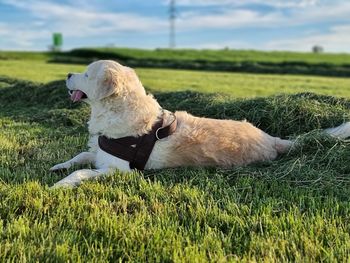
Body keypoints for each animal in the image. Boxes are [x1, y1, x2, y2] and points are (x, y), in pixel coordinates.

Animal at [50, 59, 350, 188]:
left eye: (86, 74)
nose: (67, 74)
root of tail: (271, 138)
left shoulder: (119, 170)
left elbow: (82, 171)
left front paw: (61, 184)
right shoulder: (100, 151)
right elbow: (81, 155)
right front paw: (59, 166)